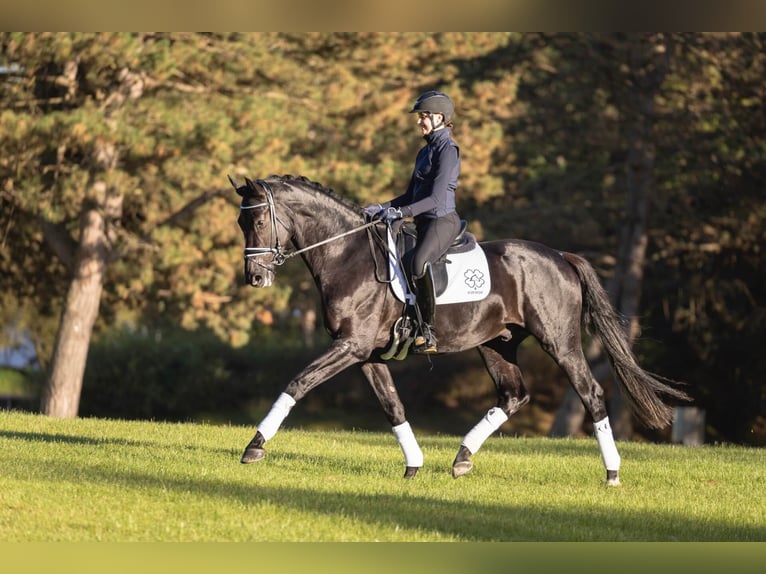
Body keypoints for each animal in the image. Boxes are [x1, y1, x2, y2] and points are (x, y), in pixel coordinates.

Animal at [231, 174, 692, 486]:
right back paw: (462, 457)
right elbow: (393, 406)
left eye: (259, 222)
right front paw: (413, 465)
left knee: (591, 394)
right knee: (513, 395)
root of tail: (560, 256)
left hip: (559, 342)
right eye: (242, 224)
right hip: (496, 344)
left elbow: (298, 382)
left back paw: (612, 473)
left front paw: (254, 446)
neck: (348, 255)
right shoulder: (364, 353)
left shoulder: (351, 346)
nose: (255, 278)